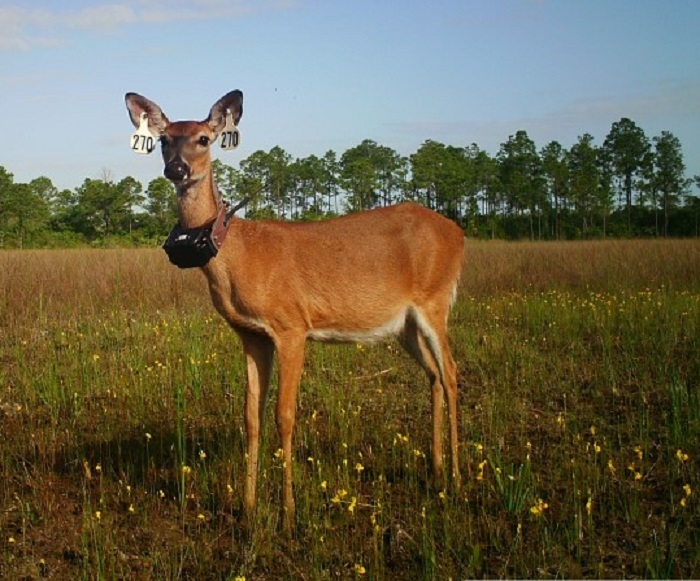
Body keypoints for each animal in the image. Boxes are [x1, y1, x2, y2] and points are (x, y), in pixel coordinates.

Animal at [126, 90, 464, 532]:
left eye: (203, 138)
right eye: (164, 140)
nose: (177, 169)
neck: (238, 256)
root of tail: (458, 233)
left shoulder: (291, 326)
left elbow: (284, 415)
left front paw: (287, 513)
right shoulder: (251, 334)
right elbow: (250, 417)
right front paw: (249, 509)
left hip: (435, 299)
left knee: (453, 372)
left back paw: (457, 477)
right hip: (403, 324)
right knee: (435, 375)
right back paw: (438, 470)